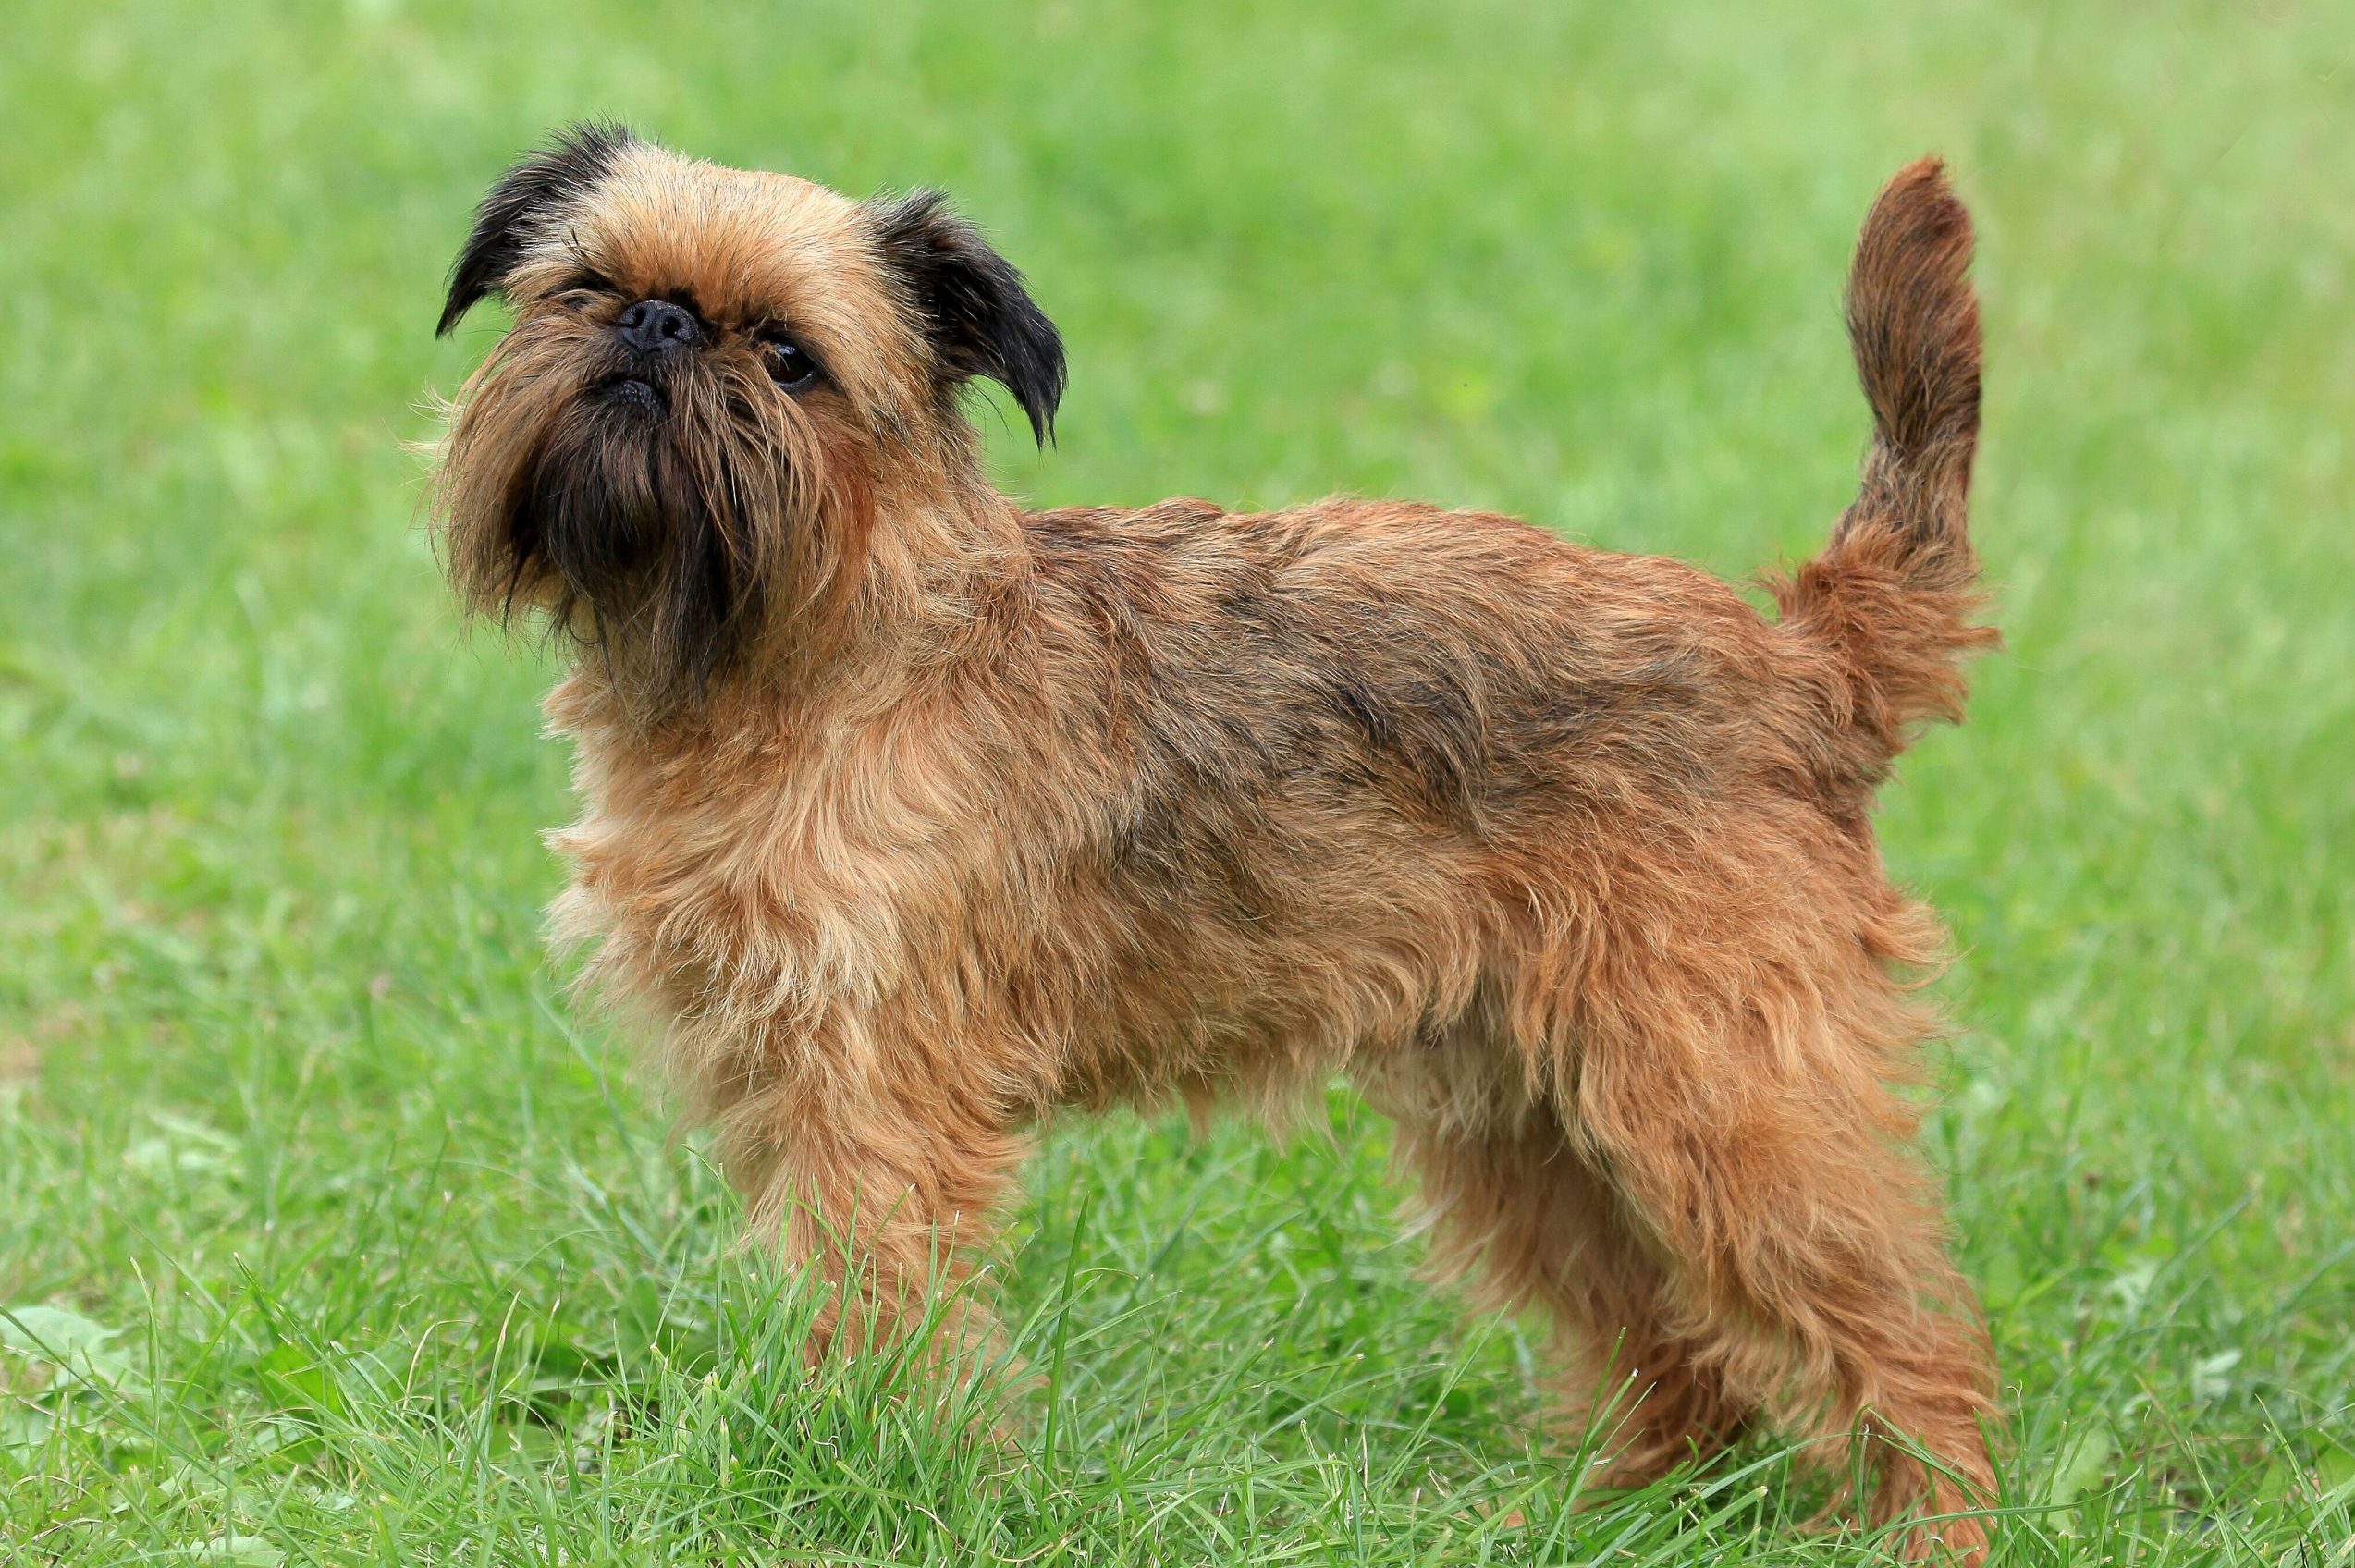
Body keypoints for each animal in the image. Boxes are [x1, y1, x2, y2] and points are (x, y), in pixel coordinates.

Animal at [428, 125, 2006, 1553]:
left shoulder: (872, 1094)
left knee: (1906, 1341)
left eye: (787, 356)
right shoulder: (775, 1077)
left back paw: (1925, 1529)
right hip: (1526, 1122)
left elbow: (873, 1299)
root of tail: (1801, 662)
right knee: (1673, 1349)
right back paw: (1602, 1515)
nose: (656, 325)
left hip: (1723, 1103)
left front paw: (862, 1476)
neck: (808, 649)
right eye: (583, 288)